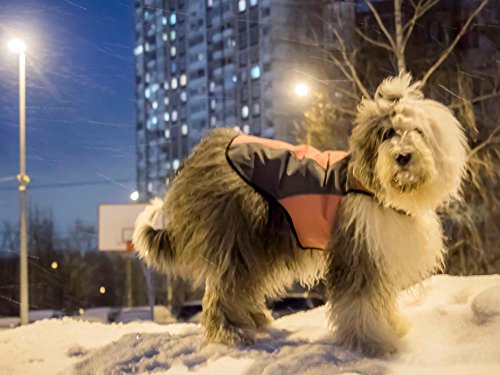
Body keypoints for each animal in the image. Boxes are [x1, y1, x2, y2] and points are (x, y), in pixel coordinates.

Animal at [133, 74, 468, 356]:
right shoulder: (357, 250)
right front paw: (374, 342)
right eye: (387, 134)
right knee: (225, 289)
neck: (378, 189)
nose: (403, 156)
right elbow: (361, 303)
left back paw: (254, 320)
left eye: (417, 131)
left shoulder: (378, 251)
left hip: (256, 244)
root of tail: (206, 151)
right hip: (236, 239)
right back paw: (230, 333)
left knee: (240, 288)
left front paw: (393, 326)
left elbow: (380, 300)